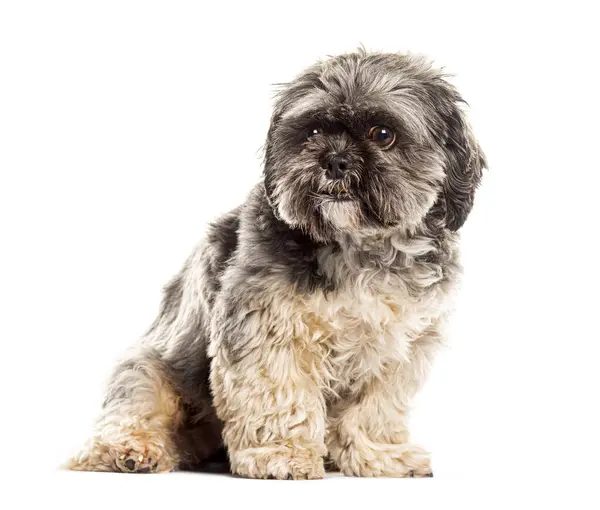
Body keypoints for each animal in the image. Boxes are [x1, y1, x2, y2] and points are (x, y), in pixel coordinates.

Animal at [65, 48, 486, 478]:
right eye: (313, 132)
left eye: (383, 134)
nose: (335, 160)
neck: (358, 247)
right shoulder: (267, 326)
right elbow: (278, 393)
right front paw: (281, 453)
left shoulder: (399, 346)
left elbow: (374, 408)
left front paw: (380, 455)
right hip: (147, 371)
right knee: (131, 413)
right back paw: (130, 449)